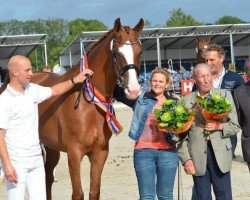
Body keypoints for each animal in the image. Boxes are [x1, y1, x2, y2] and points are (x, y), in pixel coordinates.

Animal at [30, 18, 144, 199]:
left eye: (139, 51)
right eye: (117, 52)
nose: (133, 90)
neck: (88, 102)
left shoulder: (100, 153)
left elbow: (94, 191)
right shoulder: (74, 153)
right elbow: (78, 193)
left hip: (51, 147)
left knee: (47, 178)